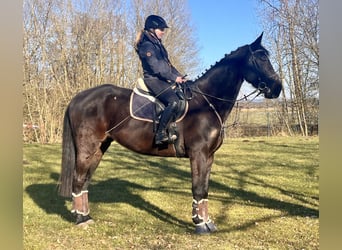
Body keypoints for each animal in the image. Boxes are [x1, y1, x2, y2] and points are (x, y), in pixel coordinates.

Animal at [58, 33, 282, 234]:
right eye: (261, 58)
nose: (277, 88)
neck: (205, 103)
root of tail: (78, 98)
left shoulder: (209, 157)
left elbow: (205, 189)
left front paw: (207, 222)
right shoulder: (198, 155)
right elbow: (197, 188)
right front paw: (200, 224)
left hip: (99, 148)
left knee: (85, 180)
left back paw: (85, 215)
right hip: (87, 148)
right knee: (78, 178)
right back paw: (81, 219)